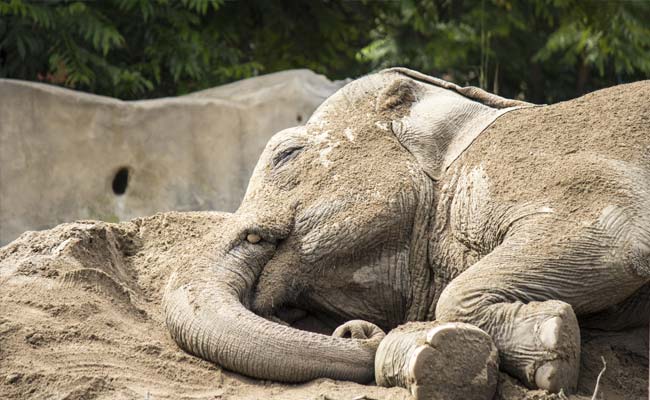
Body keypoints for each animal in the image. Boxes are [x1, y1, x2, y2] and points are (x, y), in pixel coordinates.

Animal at [161, 67, 648, 398]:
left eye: (286, 154)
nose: (356, 332)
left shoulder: (558, 174)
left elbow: (619, 243)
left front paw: (554, 344)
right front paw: (439, 355)